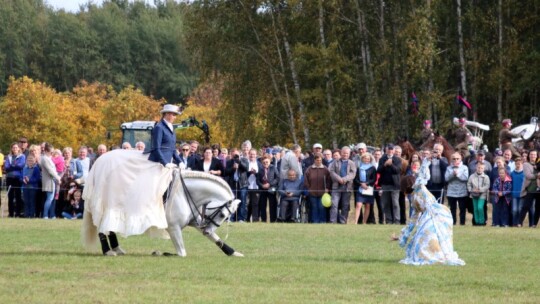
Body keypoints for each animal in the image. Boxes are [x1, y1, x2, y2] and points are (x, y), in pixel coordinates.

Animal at [81, 150, 244, 256]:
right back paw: (108, 251)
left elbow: (216, 239)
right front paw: (159, 252)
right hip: (104, 203)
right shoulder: (173, 227)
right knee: (102, 226)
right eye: (222, 215)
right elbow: (181, 253)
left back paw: (117, 249)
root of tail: (99, 161)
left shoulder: (195, 221)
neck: (185, 192)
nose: (207, 230)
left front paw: (233, 252)